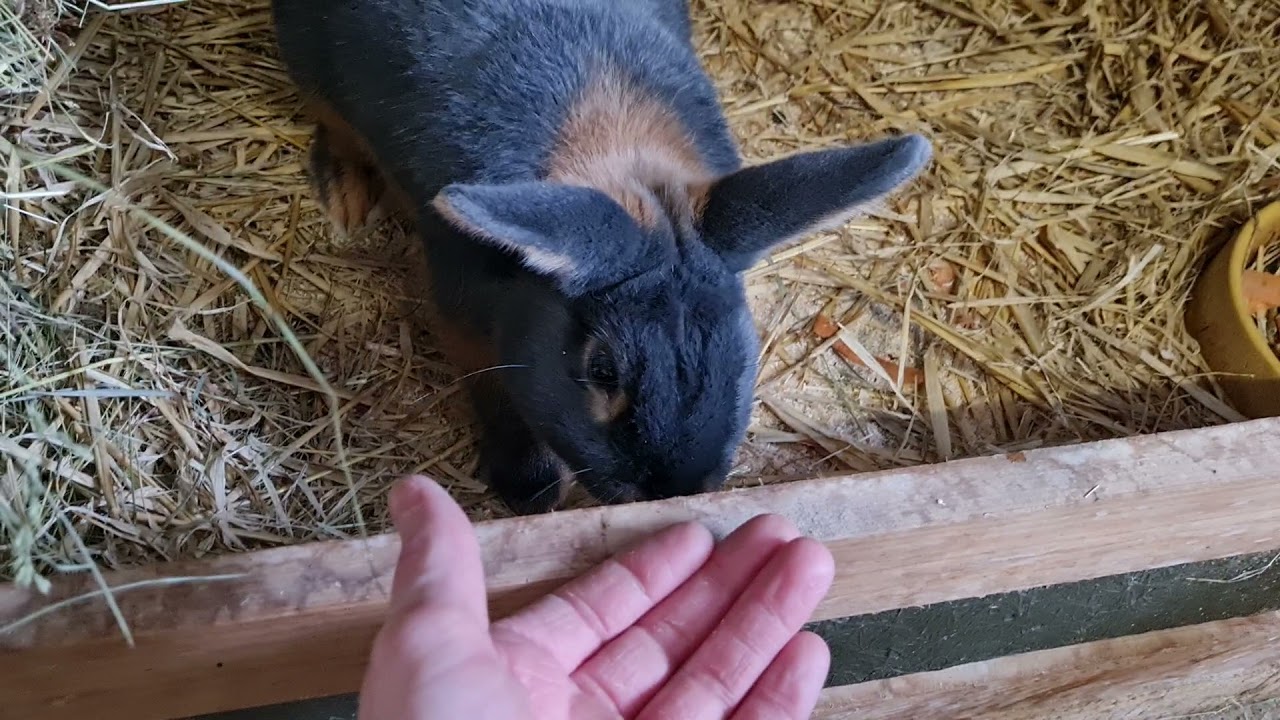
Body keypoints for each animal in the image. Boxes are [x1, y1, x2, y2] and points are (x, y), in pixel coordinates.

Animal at [269, 0, 932, 515]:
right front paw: (530, 490)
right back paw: (344, 194)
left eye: (741, 339)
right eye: (602, 370)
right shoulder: (462, 313)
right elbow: (494, 392)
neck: (618, 155)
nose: (669, 489)